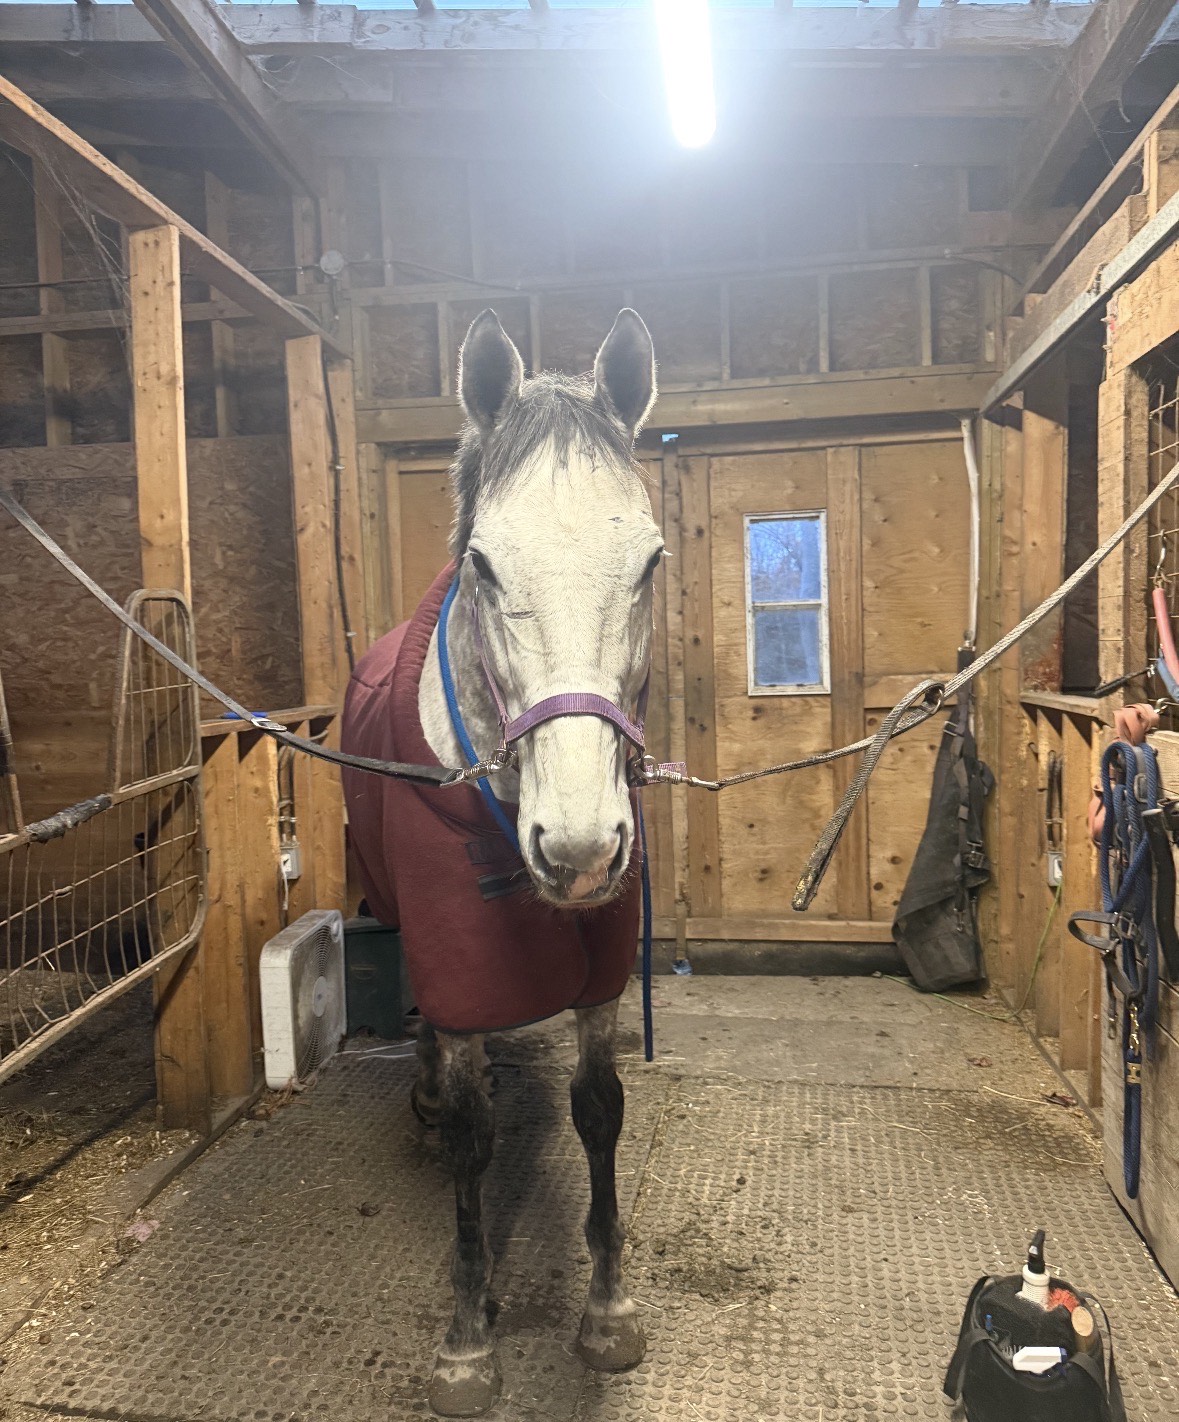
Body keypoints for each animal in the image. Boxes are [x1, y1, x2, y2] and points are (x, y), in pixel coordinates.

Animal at [340, 308, 663, 1417]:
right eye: (484, 565)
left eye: (649, 562)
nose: (578, 849)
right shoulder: (460, 960)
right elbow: (475, 1136)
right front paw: (467, 1342)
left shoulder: (600, 969)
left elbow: (600, 1114)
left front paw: (607, 1313)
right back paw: (429, 1098)